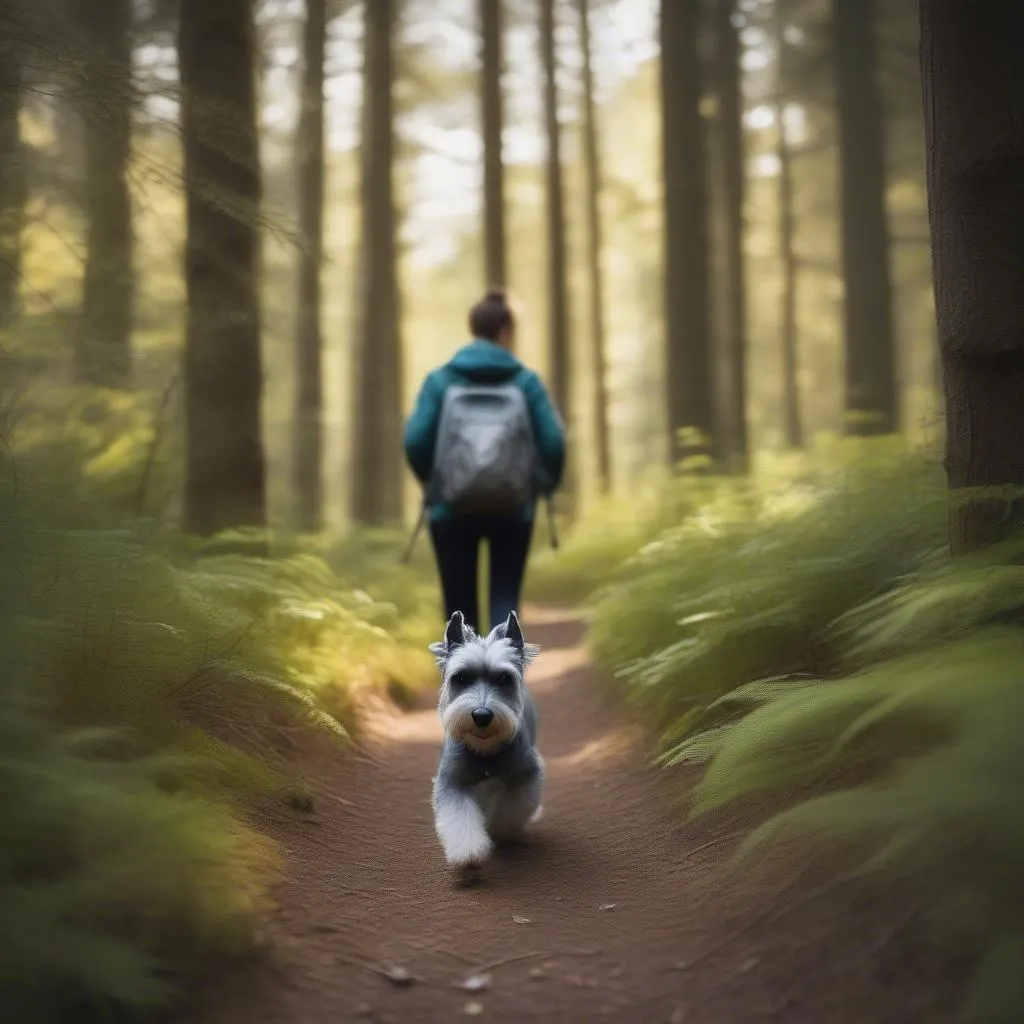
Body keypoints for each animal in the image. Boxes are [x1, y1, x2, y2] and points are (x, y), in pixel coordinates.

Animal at [430, 610, 544, 876]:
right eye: (460, 677)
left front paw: (498, 832)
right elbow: (459, 817)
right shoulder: (453, 782)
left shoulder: (526, 776)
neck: (486, 752)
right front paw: (468, 854)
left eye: (504, 678)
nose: (481, 715)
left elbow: (512, 810)